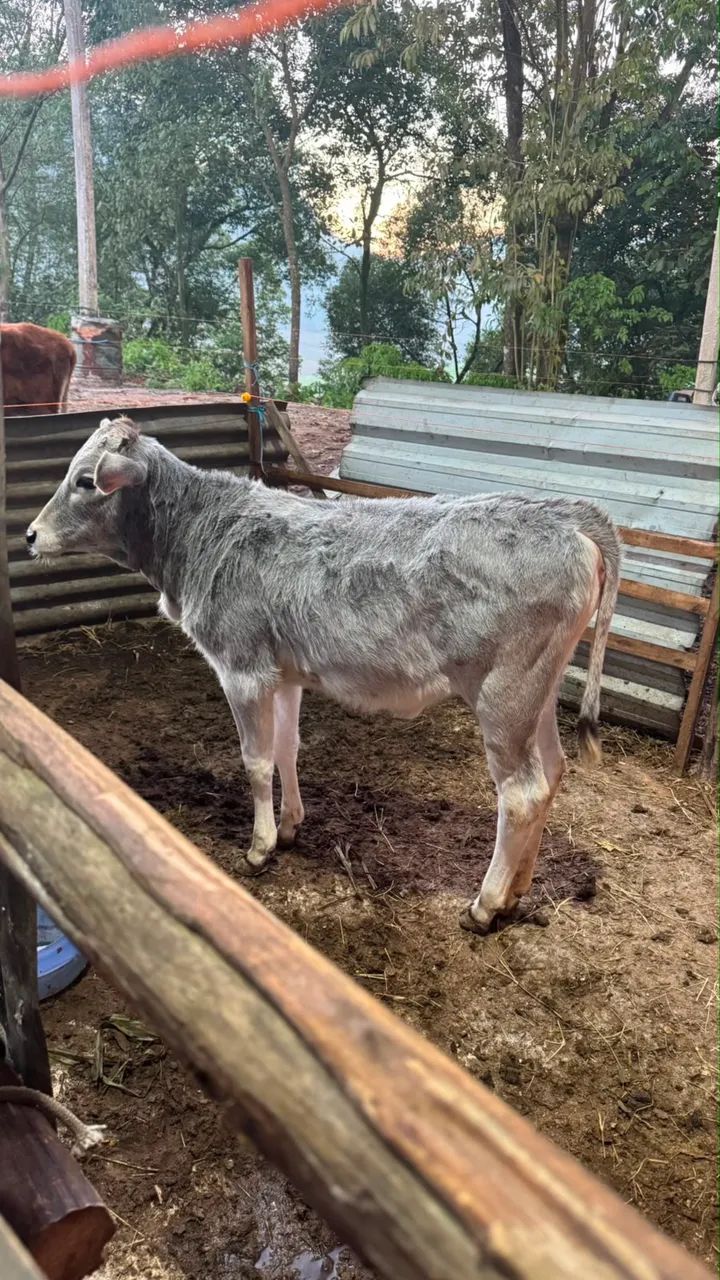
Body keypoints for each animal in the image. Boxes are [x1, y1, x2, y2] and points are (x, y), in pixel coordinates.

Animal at [26, 416, 621, 934]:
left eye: (85, 480)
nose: (30, 535)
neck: (197, 533)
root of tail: (566, 513)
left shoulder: (241, 669)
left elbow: (255, 760)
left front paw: (259, 847)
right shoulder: (284, 674)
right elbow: (287, 748)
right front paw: (290, 826)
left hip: (503, 692)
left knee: (520, 794)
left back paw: (485, 904)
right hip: (539, 690)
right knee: (552, 772)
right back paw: (519, 888)